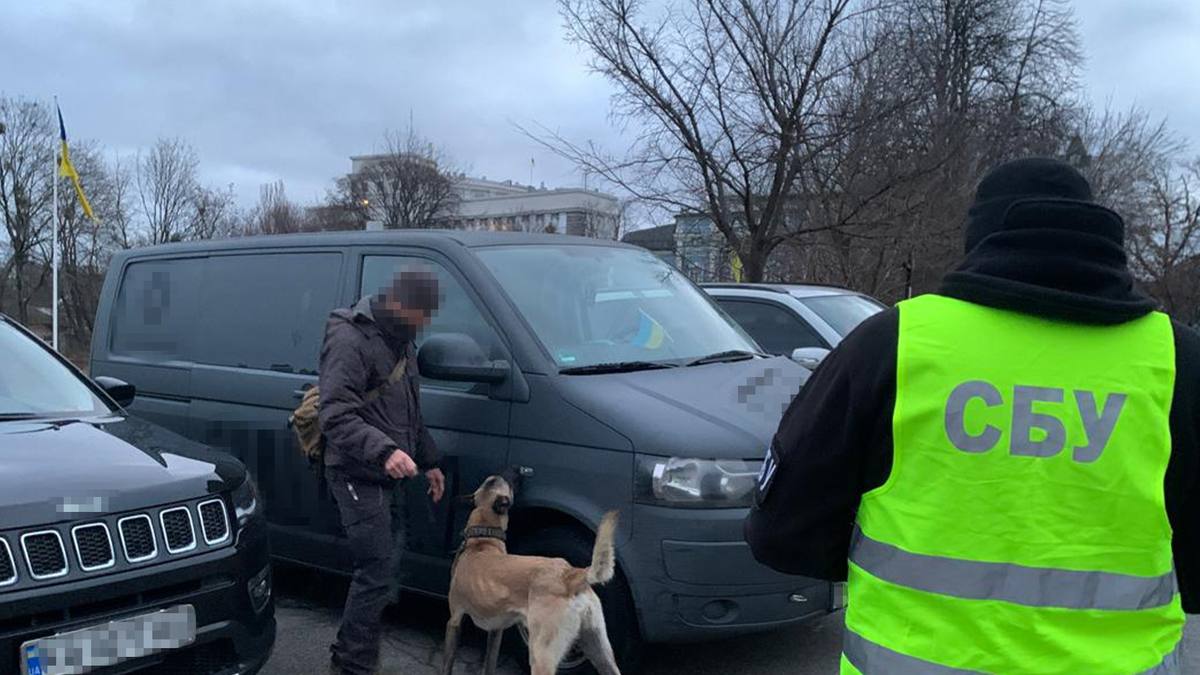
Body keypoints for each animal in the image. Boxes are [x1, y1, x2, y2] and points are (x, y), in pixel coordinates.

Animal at [446, 473, 624, 672]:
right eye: (496, 480)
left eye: (504, 481)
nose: (519, 471)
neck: (482, 542)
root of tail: (570, 575)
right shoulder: (496, 630)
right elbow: (490, 665)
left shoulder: (454, 620)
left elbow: (447, 664)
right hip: (599, 650)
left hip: (541, 654)